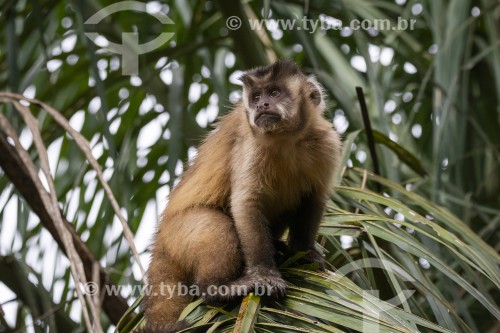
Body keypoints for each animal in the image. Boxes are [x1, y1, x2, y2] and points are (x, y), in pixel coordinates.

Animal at [143, 60, 342, 332]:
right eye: (256, 97)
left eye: (274, 93)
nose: (261, 105)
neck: (287, 138)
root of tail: (160, 238)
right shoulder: (251, 145)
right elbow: (246, 204)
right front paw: (265, 274)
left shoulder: (327, 142)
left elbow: (314, 197)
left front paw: (304, 252)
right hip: (177, 232)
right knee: (214, 225)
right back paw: (217, 289)